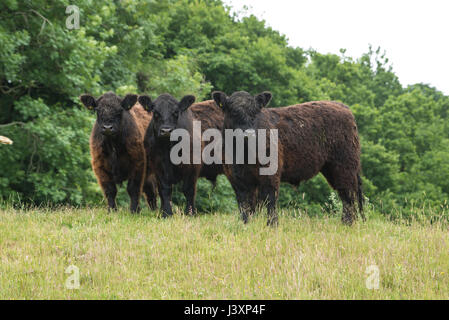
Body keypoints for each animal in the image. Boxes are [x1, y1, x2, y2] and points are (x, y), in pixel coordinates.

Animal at [212, 89, 362, 225]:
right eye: (233, 112)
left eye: (255, 113)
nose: (248, 134)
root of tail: (341, 106)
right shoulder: (237, 180)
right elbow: (245, 207)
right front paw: (246, 225)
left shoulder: (270, 175)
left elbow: (270, 202)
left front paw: (272, 226)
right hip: (332, 168)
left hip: (344, 166)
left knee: (348, 195)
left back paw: (348, 224)